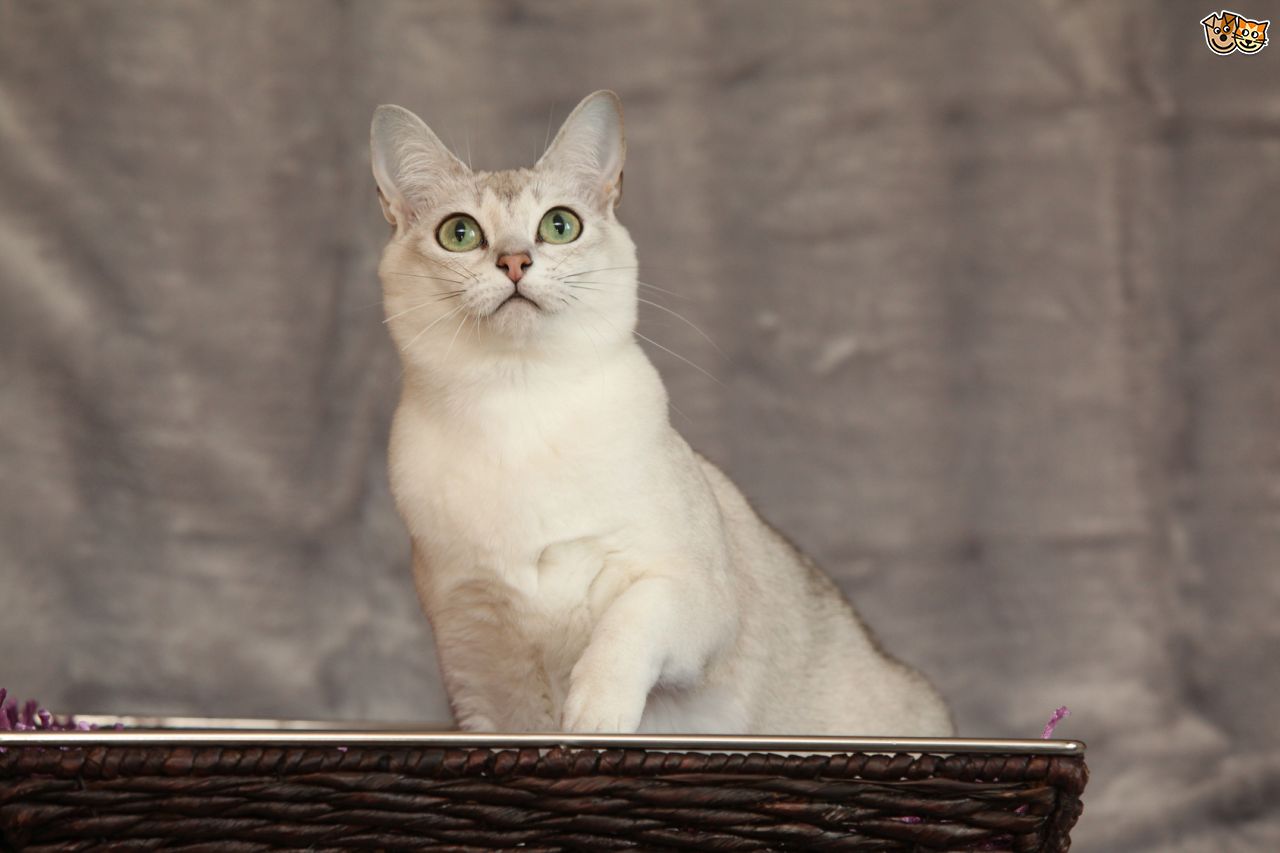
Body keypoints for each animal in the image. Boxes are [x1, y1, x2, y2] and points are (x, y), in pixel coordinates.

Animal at [368, 91, 952, 732]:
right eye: (460, 233)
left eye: (558, 226)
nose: (515, 262)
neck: (516, 408)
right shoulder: (474, 666)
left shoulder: (692, 592)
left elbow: (629, 621)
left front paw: (594, 718)